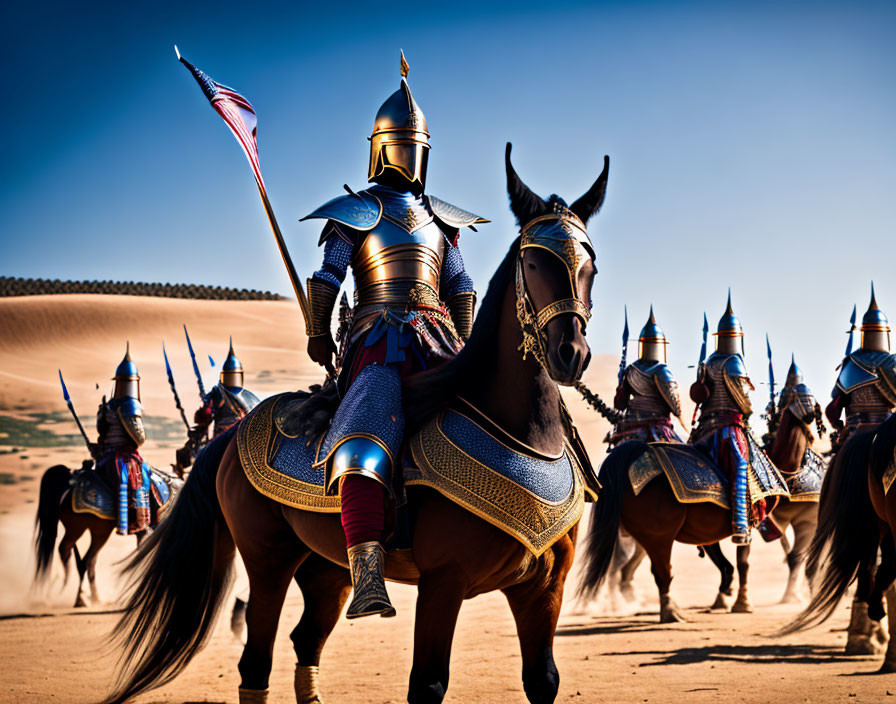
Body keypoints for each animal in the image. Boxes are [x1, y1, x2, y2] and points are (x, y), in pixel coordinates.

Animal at [34, 462, 147, 604]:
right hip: (87, 530)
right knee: (72, 552)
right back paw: (81, 596)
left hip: (89, 531)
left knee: (85, 559)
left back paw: (86, 597)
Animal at [103, 144, 608, 704]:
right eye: (534, 260)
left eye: (591, 266)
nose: (571, 354)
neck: (521, 434)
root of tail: (234, 436)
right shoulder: (443, 582)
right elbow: (427, 684)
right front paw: (321, 345)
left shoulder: (543, 586)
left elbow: (543, 681)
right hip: (267, 558)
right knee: (256, 661)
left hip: (325, 566)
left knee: (306, 641)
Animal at [576, 412, 808, 620]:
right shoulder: (745, 523)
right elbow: (742, 563)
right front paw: (741, 603)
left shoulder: (707, 533)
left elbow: (726, 565)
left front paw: (723, 597)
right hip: (658, 536)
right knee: (659, 572)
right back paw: (669, 612)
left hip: (645, 536)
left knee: (641, 571)